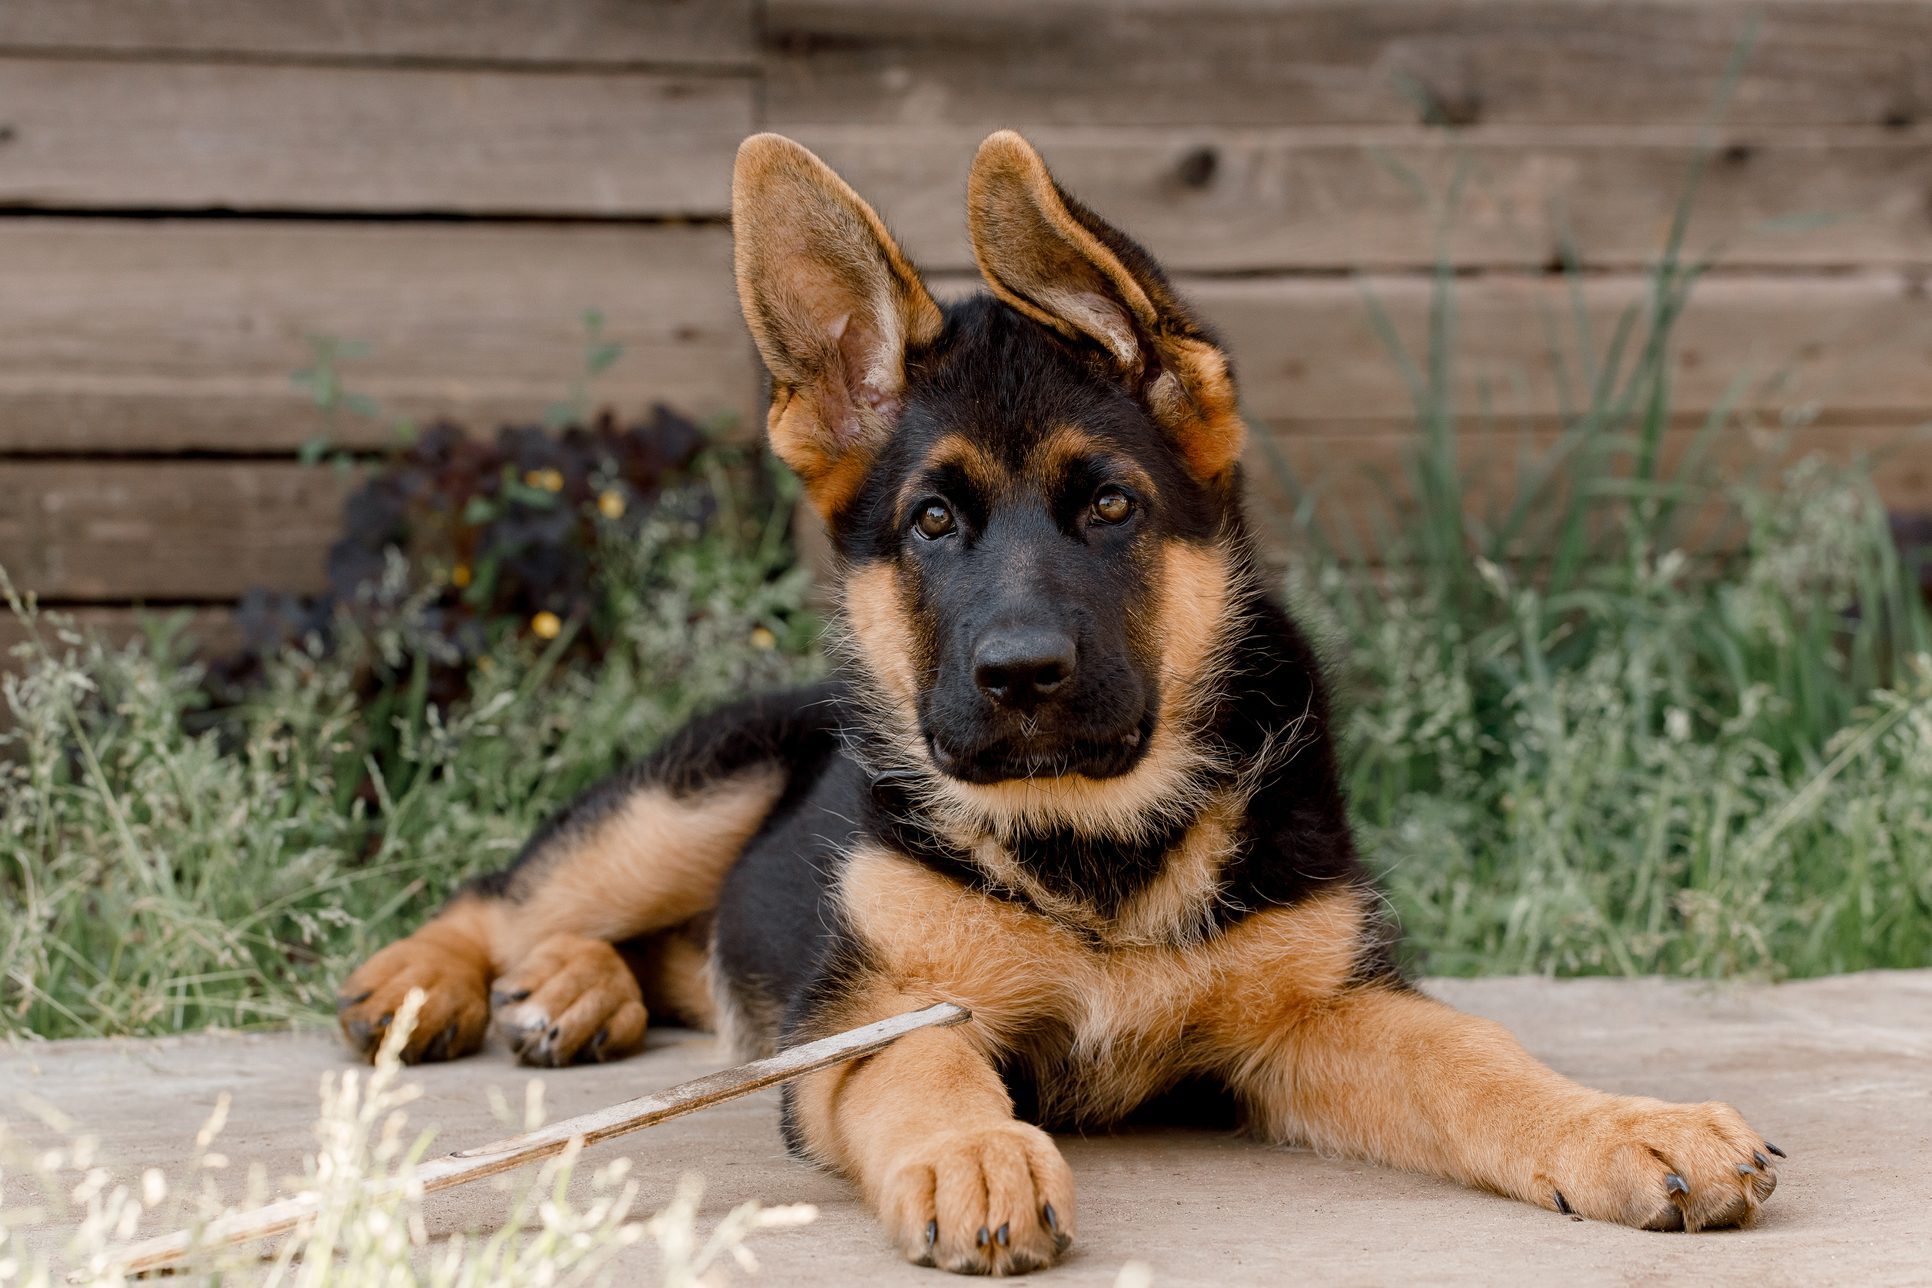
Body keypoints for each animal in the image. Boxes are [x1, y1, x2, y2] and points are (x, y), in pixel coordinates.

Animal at [343, 128, 1777, 1266]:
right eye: (930, 522)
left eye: (1110, 507)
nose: (1022, 675)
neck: (1093, 836)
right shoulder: (872, 1009)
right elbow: (928, 1068)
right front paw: (975, 1156)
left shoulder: (1321, 1009)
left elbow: (1477, 1059)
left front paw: (1625, 1127)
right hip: (700, 789)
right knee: (517, 896)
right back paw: (434, 985)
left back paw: (580, 993)